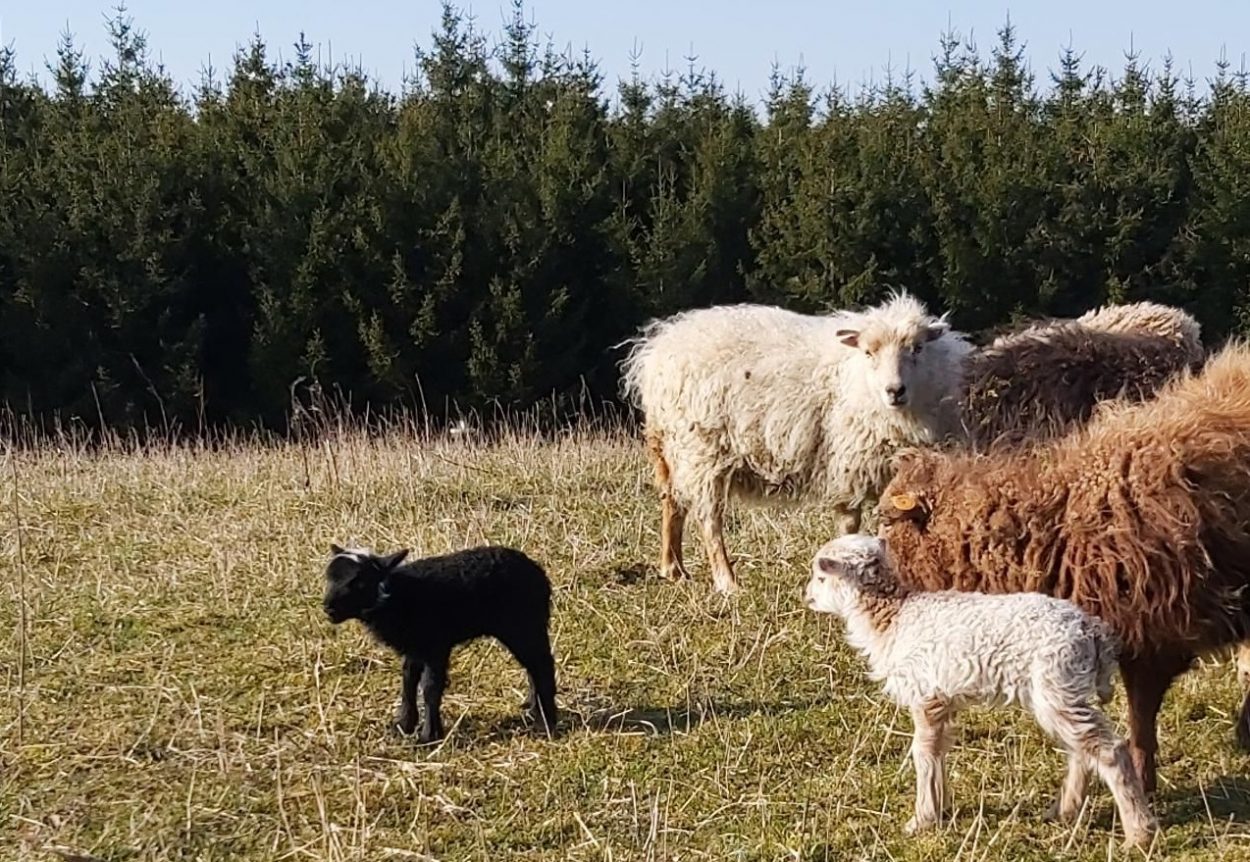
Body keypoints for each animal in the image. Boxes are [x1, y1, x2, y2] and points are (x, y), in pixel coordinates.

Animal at [322, 544, 557, 739]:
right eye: (329, 578)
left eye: (360, 582)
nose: (328, 608)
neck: (396, 596)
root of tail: (538, 573)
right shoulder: (415, 646)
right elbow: (408, 681)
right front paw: (404, 725)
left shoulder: (436, 646)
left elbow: (430, 688)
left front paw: (428, 735)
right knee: (533, 666)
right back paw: (532, 707)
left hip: (522, 625)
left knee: (542, 664)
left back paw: (545, 721)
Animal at [620, 288, 970, 589]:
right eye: (868, 352)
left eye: (918, 348)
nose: (895, 391)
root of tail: (657, 350)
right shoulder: (849, 461)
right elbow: (849, 521)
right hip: (702, 448)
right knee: (709, 520)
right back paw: (726, 581)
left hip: (666, 446)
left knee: (671, 502)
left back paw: (673, 568)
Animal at [805, 529, 1155, 844]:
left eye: (821, 577)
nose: (807, 597)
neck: (893, 620)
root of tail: (1093, 631)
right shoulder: (942, 699)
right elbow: (938, 751)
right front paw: (939, 808)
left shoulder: (925, 693)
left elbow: (922, 752)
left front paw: (921, 820)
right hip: (1061, 691)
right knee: (1082, 749)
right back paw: (1064, 812)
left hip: (1058, 682)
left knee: (1109, 750)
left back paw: (1138, 833)